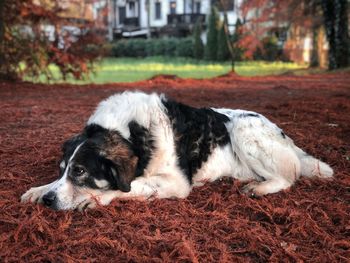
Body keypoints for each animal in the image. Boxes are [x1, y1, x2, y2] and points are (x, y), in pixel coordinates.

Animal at [20, 92, 332, 211]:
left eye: (81, 171)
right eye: (64, 169)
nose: (48, 201)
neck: (132, 133)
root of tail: (286, 138)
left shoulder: (176, 182)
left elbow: (130, 186)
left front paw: (96, 197)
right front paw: (39, 189)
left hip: (242, 129)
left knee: (288, 177)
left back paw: (260, 187)